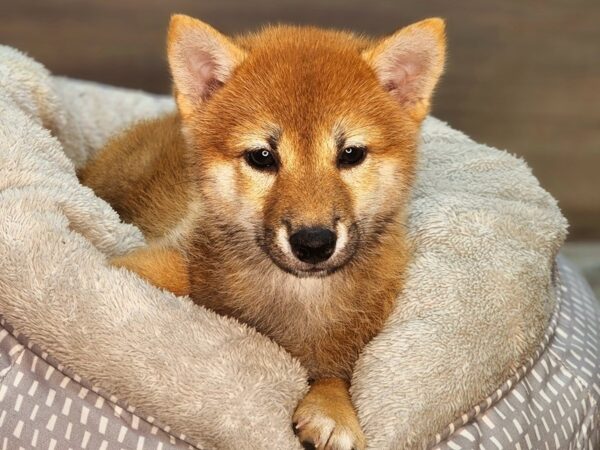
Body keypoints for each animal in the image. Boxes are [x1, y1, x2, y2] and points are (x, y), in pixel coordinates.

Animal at [81, 14, 446, 450]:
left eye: (351, 154)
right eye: (262, 157)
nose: (313, 242)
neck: (294, 298)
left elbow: (335, 375)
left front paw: (333, 410)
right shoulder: (166, 257)